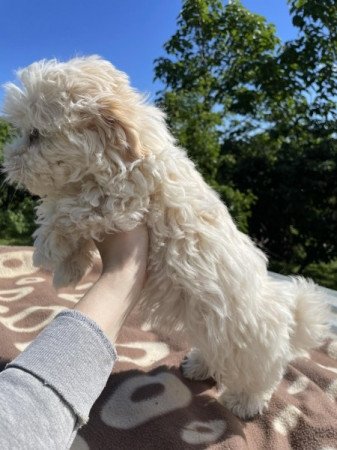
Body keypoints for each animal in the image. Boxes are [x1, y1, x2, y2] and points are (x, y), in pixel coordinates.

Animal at [1, 55, 328, 418]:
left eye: (35, 135)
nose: (8, 162)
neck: (121, 155)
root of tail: (289, 320)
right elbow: (72, 219)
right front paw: (69, 270)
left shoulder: (119, 201)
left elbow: (65, 209)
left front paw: (46, 250)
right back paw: (199, 365)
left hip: (249, 350)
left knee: (261, 377)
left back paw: (244, 402)